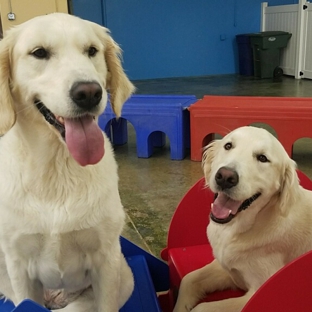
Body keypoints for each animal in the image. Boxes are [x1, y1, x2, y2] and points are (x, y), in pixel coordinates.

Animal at [0, 12, 135, 312]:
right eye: (39, 52)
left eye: (92, 51)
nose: (89, 93)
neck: (58, 167)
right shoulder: (19, 266)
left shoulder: (106, 261)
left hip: (123, 277)